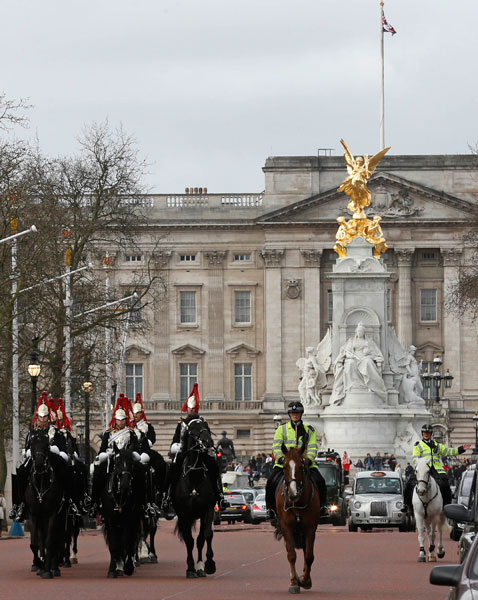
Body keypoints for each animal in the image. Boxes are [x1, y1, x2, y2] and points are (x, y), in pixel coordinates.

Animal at [25, 432, 68, 576]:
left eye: (47, 445)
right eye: (31, 445)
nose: (38, 465)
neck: (41, 483)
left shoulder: (53, 514)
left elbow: (50, 541)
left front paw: (48, 571)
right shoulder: (33, 514)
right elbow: (35, 544)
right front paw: (39, 564)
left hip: (61, 516)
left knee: (57, 539)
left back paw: (54, 567)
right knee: (42, 540)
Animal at [99, 446, 145, 576]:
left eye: (131, 464)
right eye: (117, 463)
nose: (125, 486)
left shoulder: (130, 520)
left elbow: (128, 542)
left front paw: (128, 567)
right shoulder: (110, 521)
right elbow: (114, 545)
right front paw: (112, 569)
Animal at [173, 418, 216, 576]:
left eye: (206, 427)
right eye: (192, 430)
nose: (208, 442)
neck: (194, 477)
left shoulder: (208, 510)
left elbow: (206, 536)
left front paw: (207, 564)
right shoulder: (184, 514)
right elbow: (189, 540)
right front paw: (191, 567)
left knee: (201, 538)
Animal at [274, 442, 320, 592]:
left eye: (302, 466)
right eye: (284, 467)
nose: (292, 494)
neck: (298, 502)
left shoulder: (311, 527)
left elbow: (309, 556)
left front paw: (304, 580)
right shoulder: (286, 526)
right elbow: (291, 554)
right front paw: (294, 582)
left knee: (306, 551)